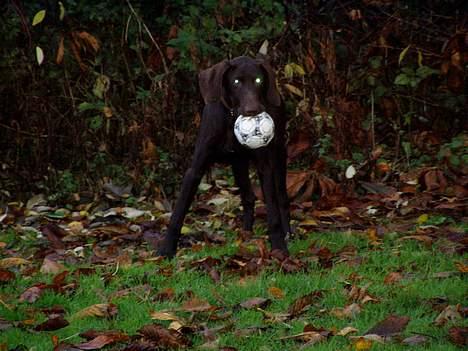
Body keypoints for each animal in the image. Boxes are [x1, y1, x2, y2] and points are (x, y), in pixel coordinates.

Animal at [157, 55, 288, 258]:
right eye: (236, 82)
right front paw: (167, 248)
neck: (231, 118)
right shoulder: (196, 168)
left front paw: (279, 246)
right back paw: (246, 233)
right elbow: (179, 211)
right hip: (238, 164)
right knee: (248, 197)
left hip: (279, 154)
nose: (253, 111)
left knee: (281, 198)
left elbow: (273, 211)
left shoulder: (264, 166)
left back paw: (288, 231)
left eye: (259, 81)